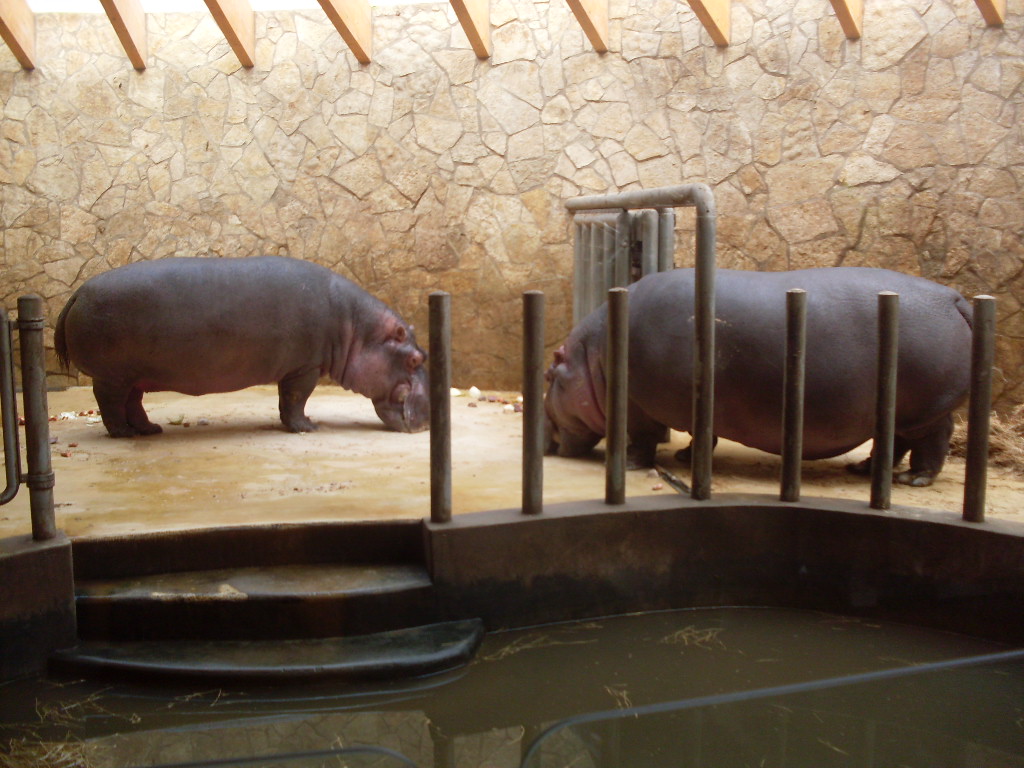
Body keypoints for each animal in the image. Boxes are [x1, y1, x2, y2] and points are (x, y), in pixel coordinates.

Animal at [54, 256, 429, 437]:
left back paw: (148, 430)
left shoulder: (294, 368)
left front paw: (293, 425)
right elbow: (296, 399)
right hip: (112, 377)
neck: (357, 328)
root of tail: (77, 293)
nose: (428, 421)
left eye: (423, 354)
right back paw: (123, 434)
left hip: (134, 375)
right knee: (110, 405)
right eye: (415, 359)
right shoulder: (305, 367)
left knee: (133, 403)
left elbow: (285, 401)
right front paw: (309, 427)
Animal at [545, 267, 973, 487]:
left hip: (927, 412)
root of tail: (954, 298)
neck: (592, 355)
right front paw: (685, 457)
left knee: (932, 441)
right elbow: (704, 436)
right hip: (901, 413)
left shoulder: (639, 406)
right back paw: (864, 470)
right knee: (895, 442)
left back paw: (914, 480)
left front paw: (633, 466)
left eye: (548, 374)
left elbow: (641, 439)